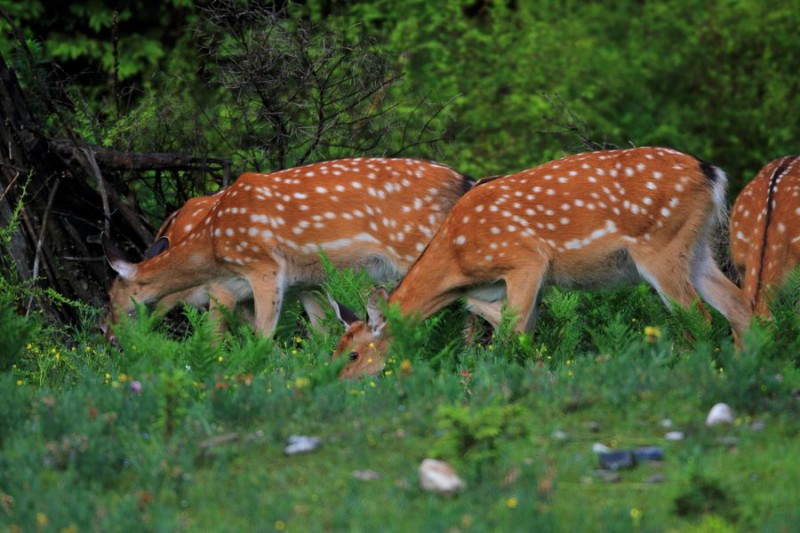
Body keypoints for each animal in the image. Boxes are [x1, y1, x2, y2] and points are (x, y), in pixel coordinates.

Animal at [101, 159, 476, 340]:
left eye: (115, 298)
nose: (109, 335)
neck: (213, 242)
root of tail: (465, 181)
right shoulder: (305, 281)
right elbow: (321, 330)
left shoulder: (262, 267)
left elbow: (260, 333)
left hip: (417, 244)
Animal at [332, 148, 756, 376]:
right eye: (333, 351)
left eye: (353, 354)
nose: (339, 381)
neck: (457, 258)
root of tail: (711, 173)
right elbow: (518, 329)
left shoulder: (524, 261)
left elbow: (513, 333)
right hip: (696, 248)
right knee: (739, 308)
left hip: (660, 244)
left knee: (700, 317)